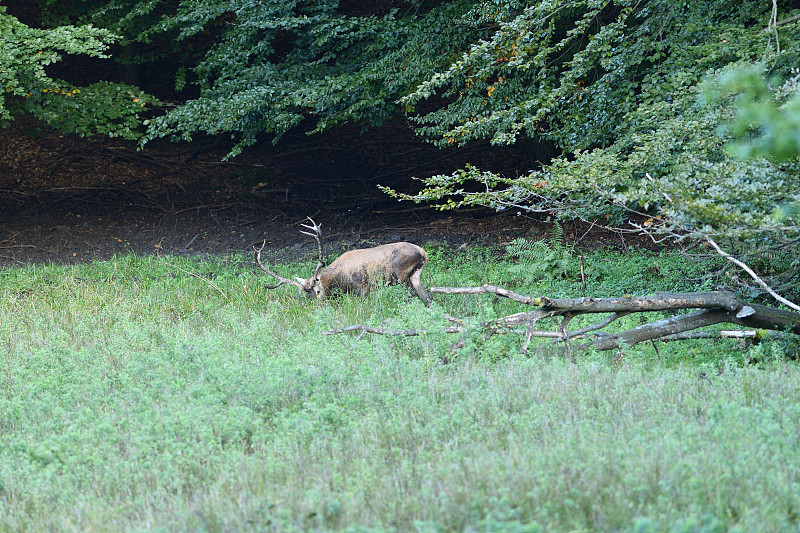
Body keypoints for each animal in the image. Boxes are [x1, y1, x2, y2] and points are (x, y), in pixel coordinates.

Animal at [255, 217, 432, 304]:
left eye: (317, 291)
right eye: (302, 294)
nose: (315, 305)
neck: (340, 281)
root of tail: (423, 252)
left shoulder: (363, 289)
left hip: (401, 276)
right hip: (415, 275)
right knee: (427, 297)